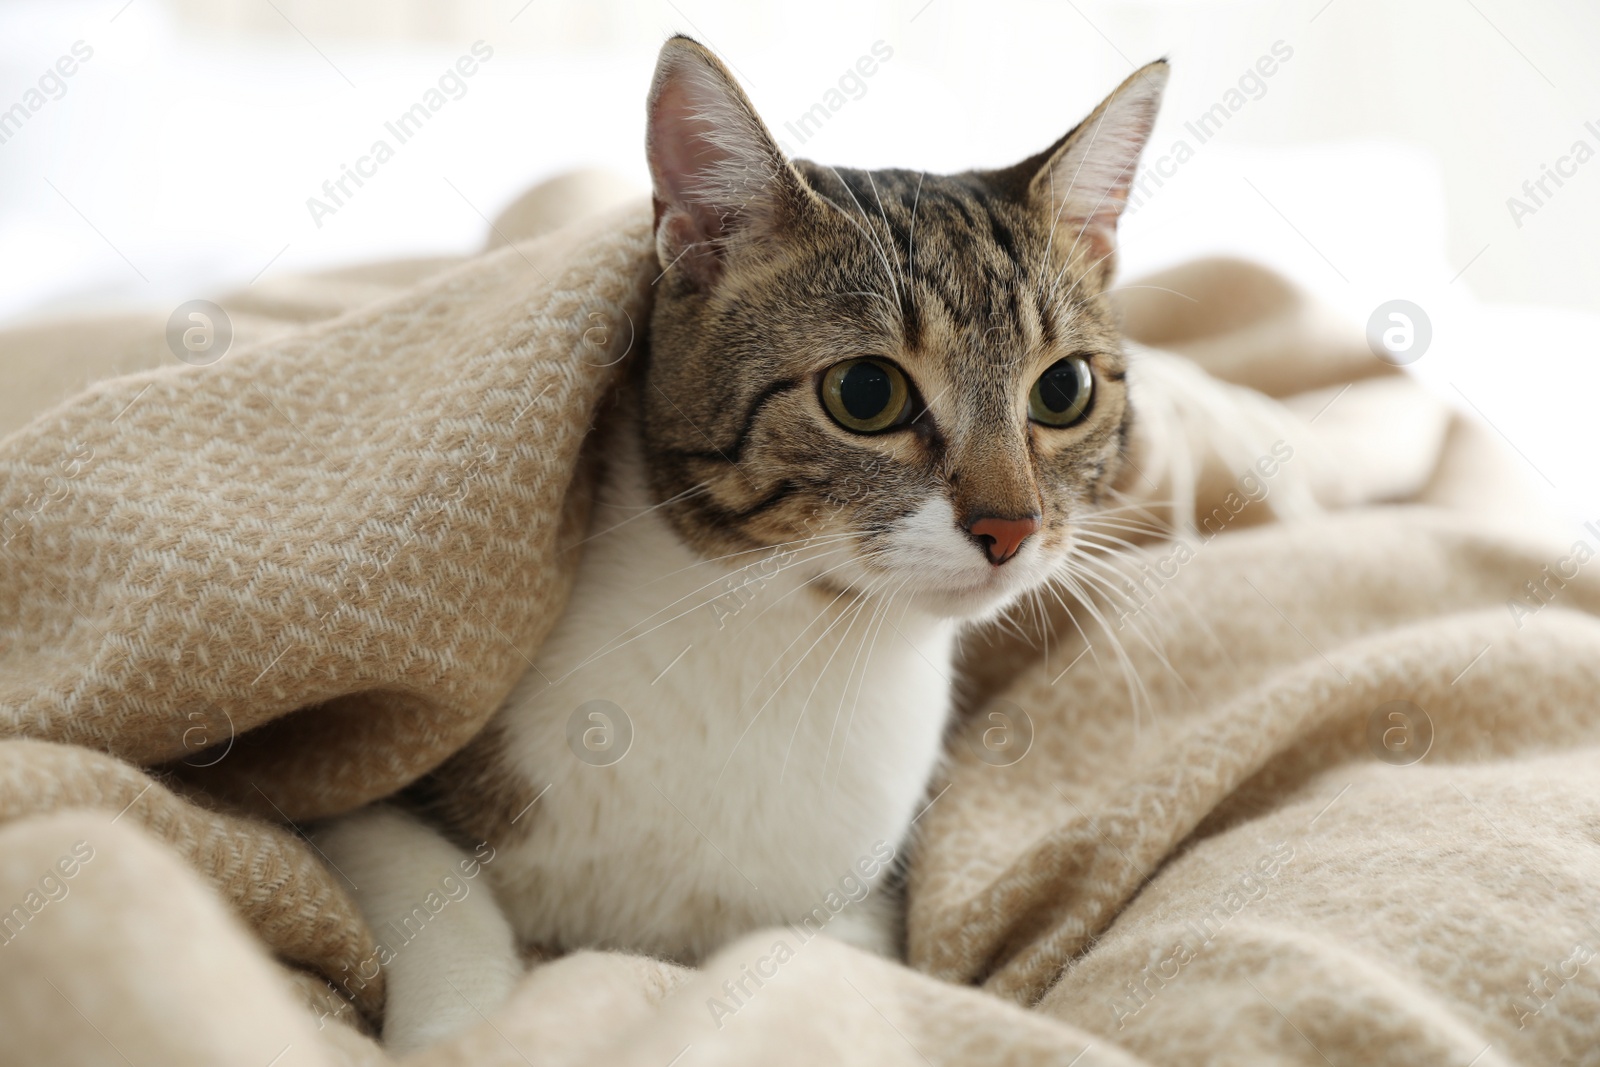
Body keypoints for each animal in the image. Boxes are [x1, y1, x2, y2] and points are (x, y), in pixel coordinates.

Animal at [318, 35, 1171, 1049]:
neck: (785, 645)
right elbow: (438, 900)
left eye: (1063, 389)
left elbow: (803, 964)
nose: (1011, 527)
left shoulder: (858, 900)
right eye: (866, 393)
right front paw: (468, 1031)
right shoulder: (364, 787)